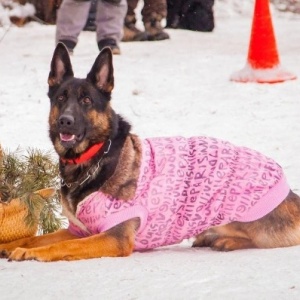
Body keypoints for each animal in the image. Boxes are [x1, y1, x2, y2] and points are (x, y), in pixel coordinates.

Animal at [0, 42, 300, 262]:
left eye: (86, 100)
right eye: (61, 98)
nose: (65, 121)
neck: (96, 157)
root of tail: (289, 193)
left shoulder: (113, 238)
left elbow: (58, 248)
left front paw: (34, 253)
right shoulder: (79, 230)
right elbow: (36, 237)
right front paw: (18, 244)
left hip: (243, 219)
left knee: (256, 239)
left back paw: (224, 240)